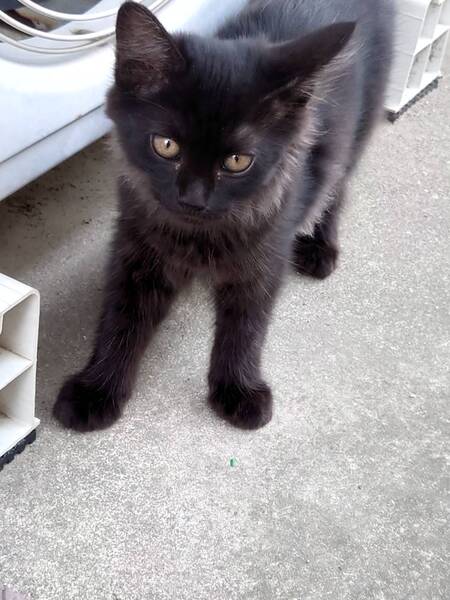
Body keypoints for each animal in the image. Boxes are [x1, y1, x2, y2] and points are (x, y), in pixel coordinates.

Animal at [53, 0, 393, 432]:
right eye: (166, 145)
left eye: (237, 161)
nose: (193, 199)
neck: (197, 234)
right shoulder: (137, 242)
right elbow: (123, 315)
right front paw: (96, 389)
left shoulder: (266, 248)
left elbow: (247, 324)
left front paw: (239, 390)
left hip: (356, 131)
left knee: (338, 182)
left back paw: (321, 246)